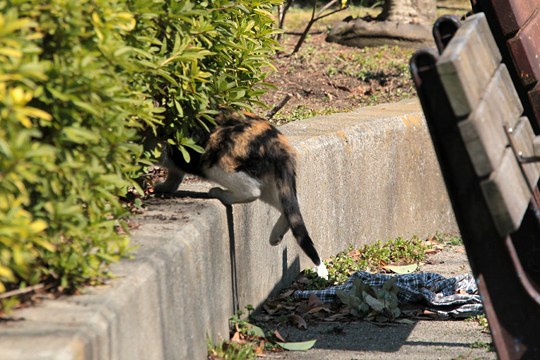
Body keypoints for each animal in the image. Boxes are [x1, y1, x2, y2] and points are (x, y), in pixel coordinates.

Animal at [154, 109, 326, 278]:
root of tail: (279, 143)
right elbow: (175, 175)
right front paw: (165, 187)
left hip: (214, 161)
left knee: (252, 190)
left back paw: (220, 193)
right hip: (270, 181)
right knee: (292, 205)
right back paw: (275, 236)